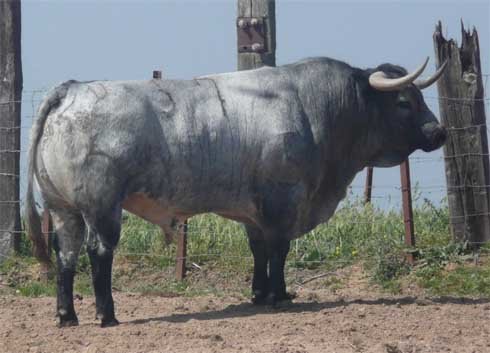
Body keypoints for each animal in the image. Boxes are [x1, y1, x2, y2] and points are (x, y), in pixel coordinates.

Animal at [25, 56, 448, 326]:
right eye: (404, 102)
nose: (439, 132)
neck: (315, 108)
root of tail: (72, 90)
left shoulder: (253, 209)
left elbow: (258, 250)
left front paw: (259, 294)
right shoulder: (283, 200)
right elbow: (279, 250)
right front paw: (278, 296)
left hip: (62, 206)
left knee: (66, 254)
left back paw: (67, 315)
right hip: (102, 206)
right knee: (98, 252)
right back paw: (107, 314)